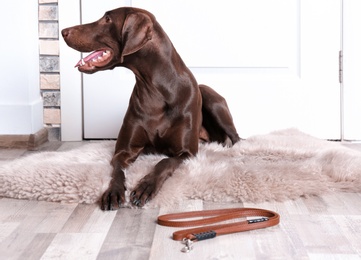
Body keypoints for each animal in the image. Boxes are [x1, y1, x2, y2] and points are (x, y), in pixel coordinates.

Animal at [61, 7, 239, 210]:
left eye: (107, 19)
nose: (63, 31)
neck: (156, 90)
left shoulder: (187, 152)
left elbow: (164, 161)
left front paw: (146, 187)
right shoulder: (124, 150)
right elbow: (118, 170)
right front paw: (113, 191)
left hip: (211, 99)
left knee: (236, 138)